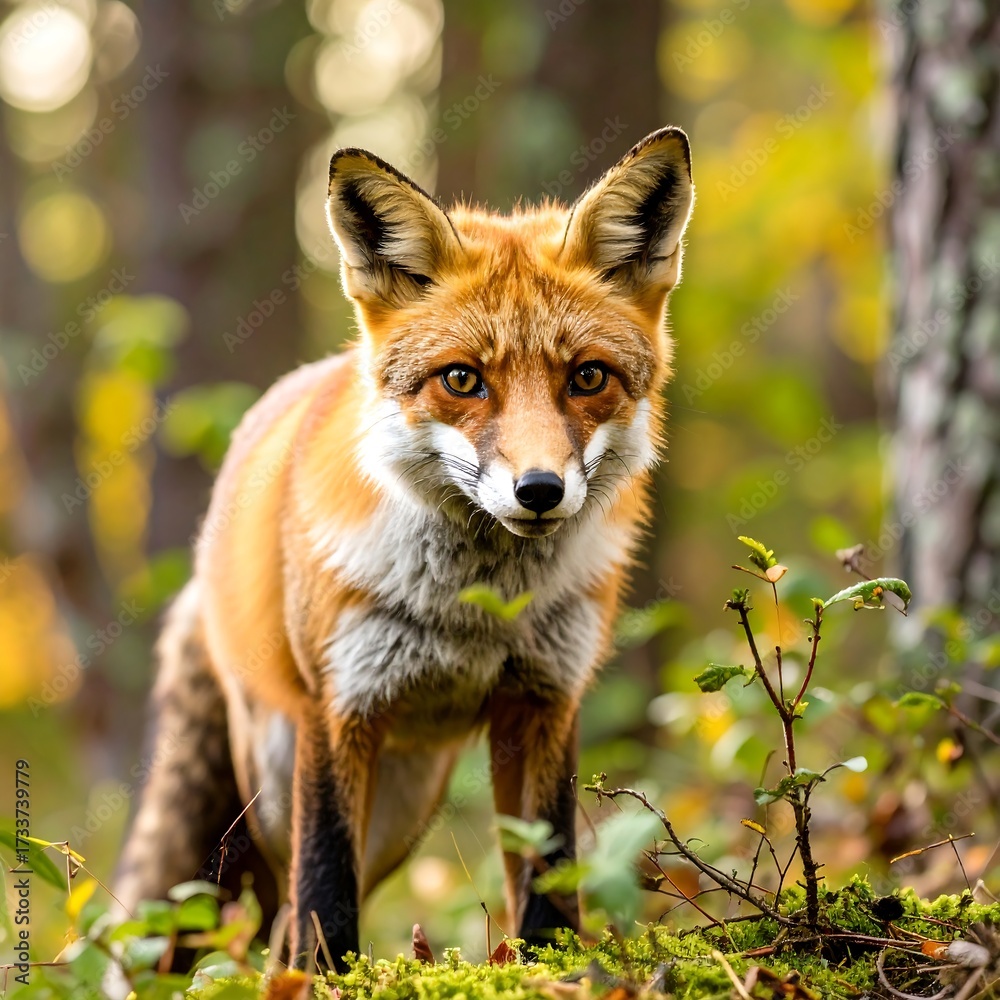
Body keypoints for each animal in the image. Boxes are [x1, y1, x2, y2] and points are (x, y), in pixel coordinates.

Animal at [115, 126, 694, 971]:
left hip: (403, 807)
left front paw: (549, 973)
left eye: (588, 377)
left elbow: (548, 877)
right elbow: (326, 895)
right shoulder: (338, 711)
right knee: (279, 909)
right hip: (275, 782)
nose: (540, 490)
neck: (478, 610)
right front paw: (326, 981)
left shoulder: (545, 702)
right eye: (463, 379)